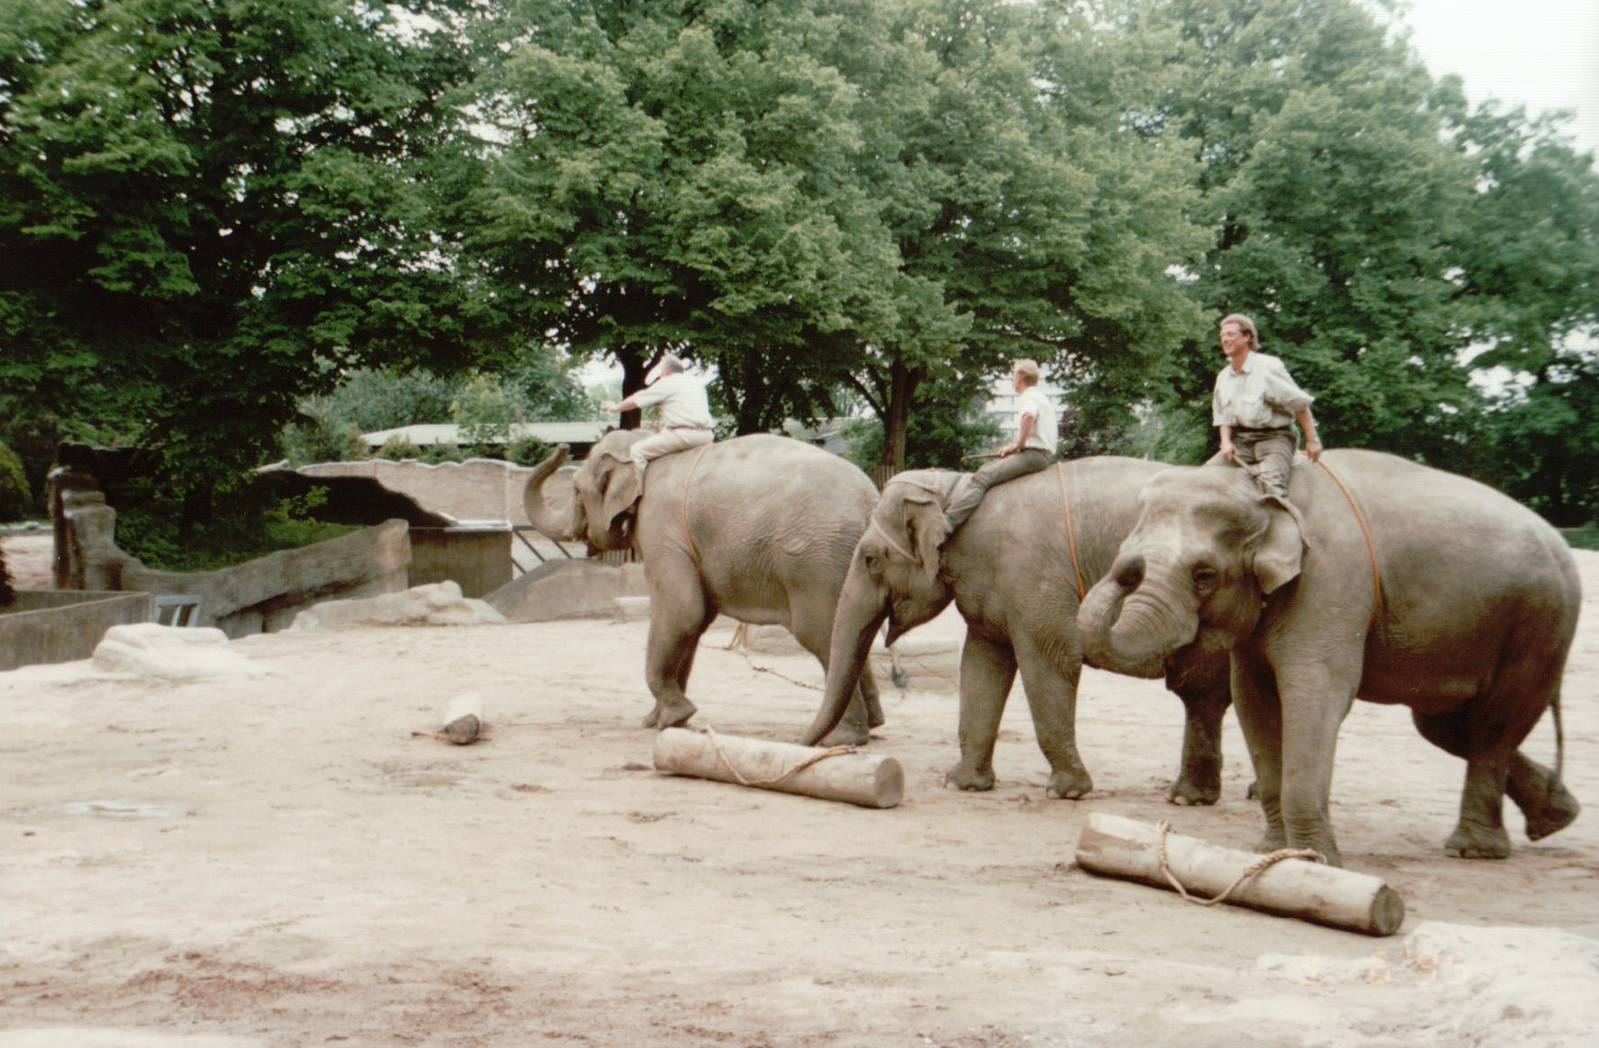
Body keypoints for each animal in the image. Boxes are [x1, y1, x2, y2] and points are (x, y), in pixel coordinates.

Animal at [524, 430, 885, 740]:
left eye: (574, 489)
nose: (562, 448)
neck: (644, 447)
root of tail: (872, 501)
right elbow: (694, 624)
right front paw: (661, 722)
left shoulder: (662, 529)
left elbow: (682, 612)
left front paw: (675, 716)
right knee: (851, 635)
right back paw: (872, 726)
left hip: (815, 563)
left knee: (822, 634)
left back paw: (843, 738)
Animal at [800, 457, 1232, 803]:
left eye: (870, 560)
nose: (803, 744)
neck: (955, 491)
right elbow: (981, 665)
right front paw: (961, 784)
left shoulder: (1035, 580)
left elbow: (1053, 661)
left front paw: (1066, 791)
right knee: (1208, 695)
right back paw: (1200, 797)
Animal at [1078, 449, 1582, 866]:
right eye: (1125, 554)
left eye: (1204, 574)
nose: (1128, 570)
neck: (1263, 497)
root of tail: (1559, 540)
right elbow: (1255, 701)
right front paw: (1270, 852)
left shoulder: (1329, 582)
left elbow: (1314, 695)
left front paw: (1314, 861)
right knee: (1447, 726)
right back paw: (1557, 817)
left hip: (1539, 626)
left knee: (1493, 725)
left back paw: (1475, 850)